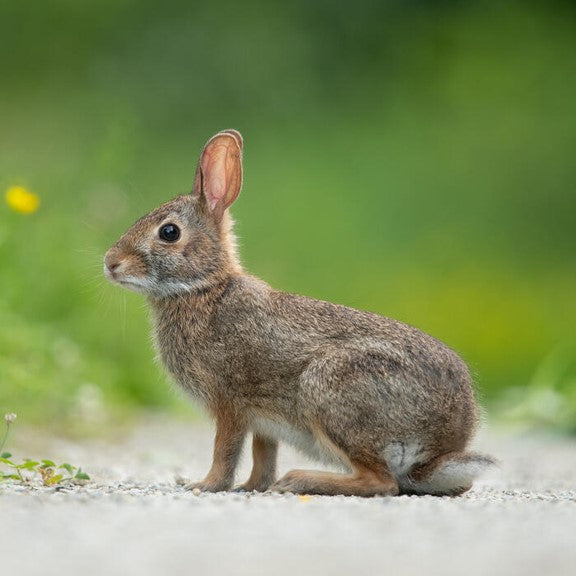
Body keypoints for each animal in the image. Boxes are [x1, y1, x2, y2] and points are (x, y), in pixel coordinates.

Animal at [106, 129, 498, 496]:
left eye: (169, 232)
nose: (110, 263)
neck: (204, 288)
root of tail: (440, 446)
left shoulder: (230, 402)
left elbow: (225, 451)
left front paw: (204, 485)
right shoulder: (263, 421)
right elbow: (263, 456)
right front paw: (251, 487)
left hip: (330, 391)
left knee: (381, 482)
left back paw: (299, 480)